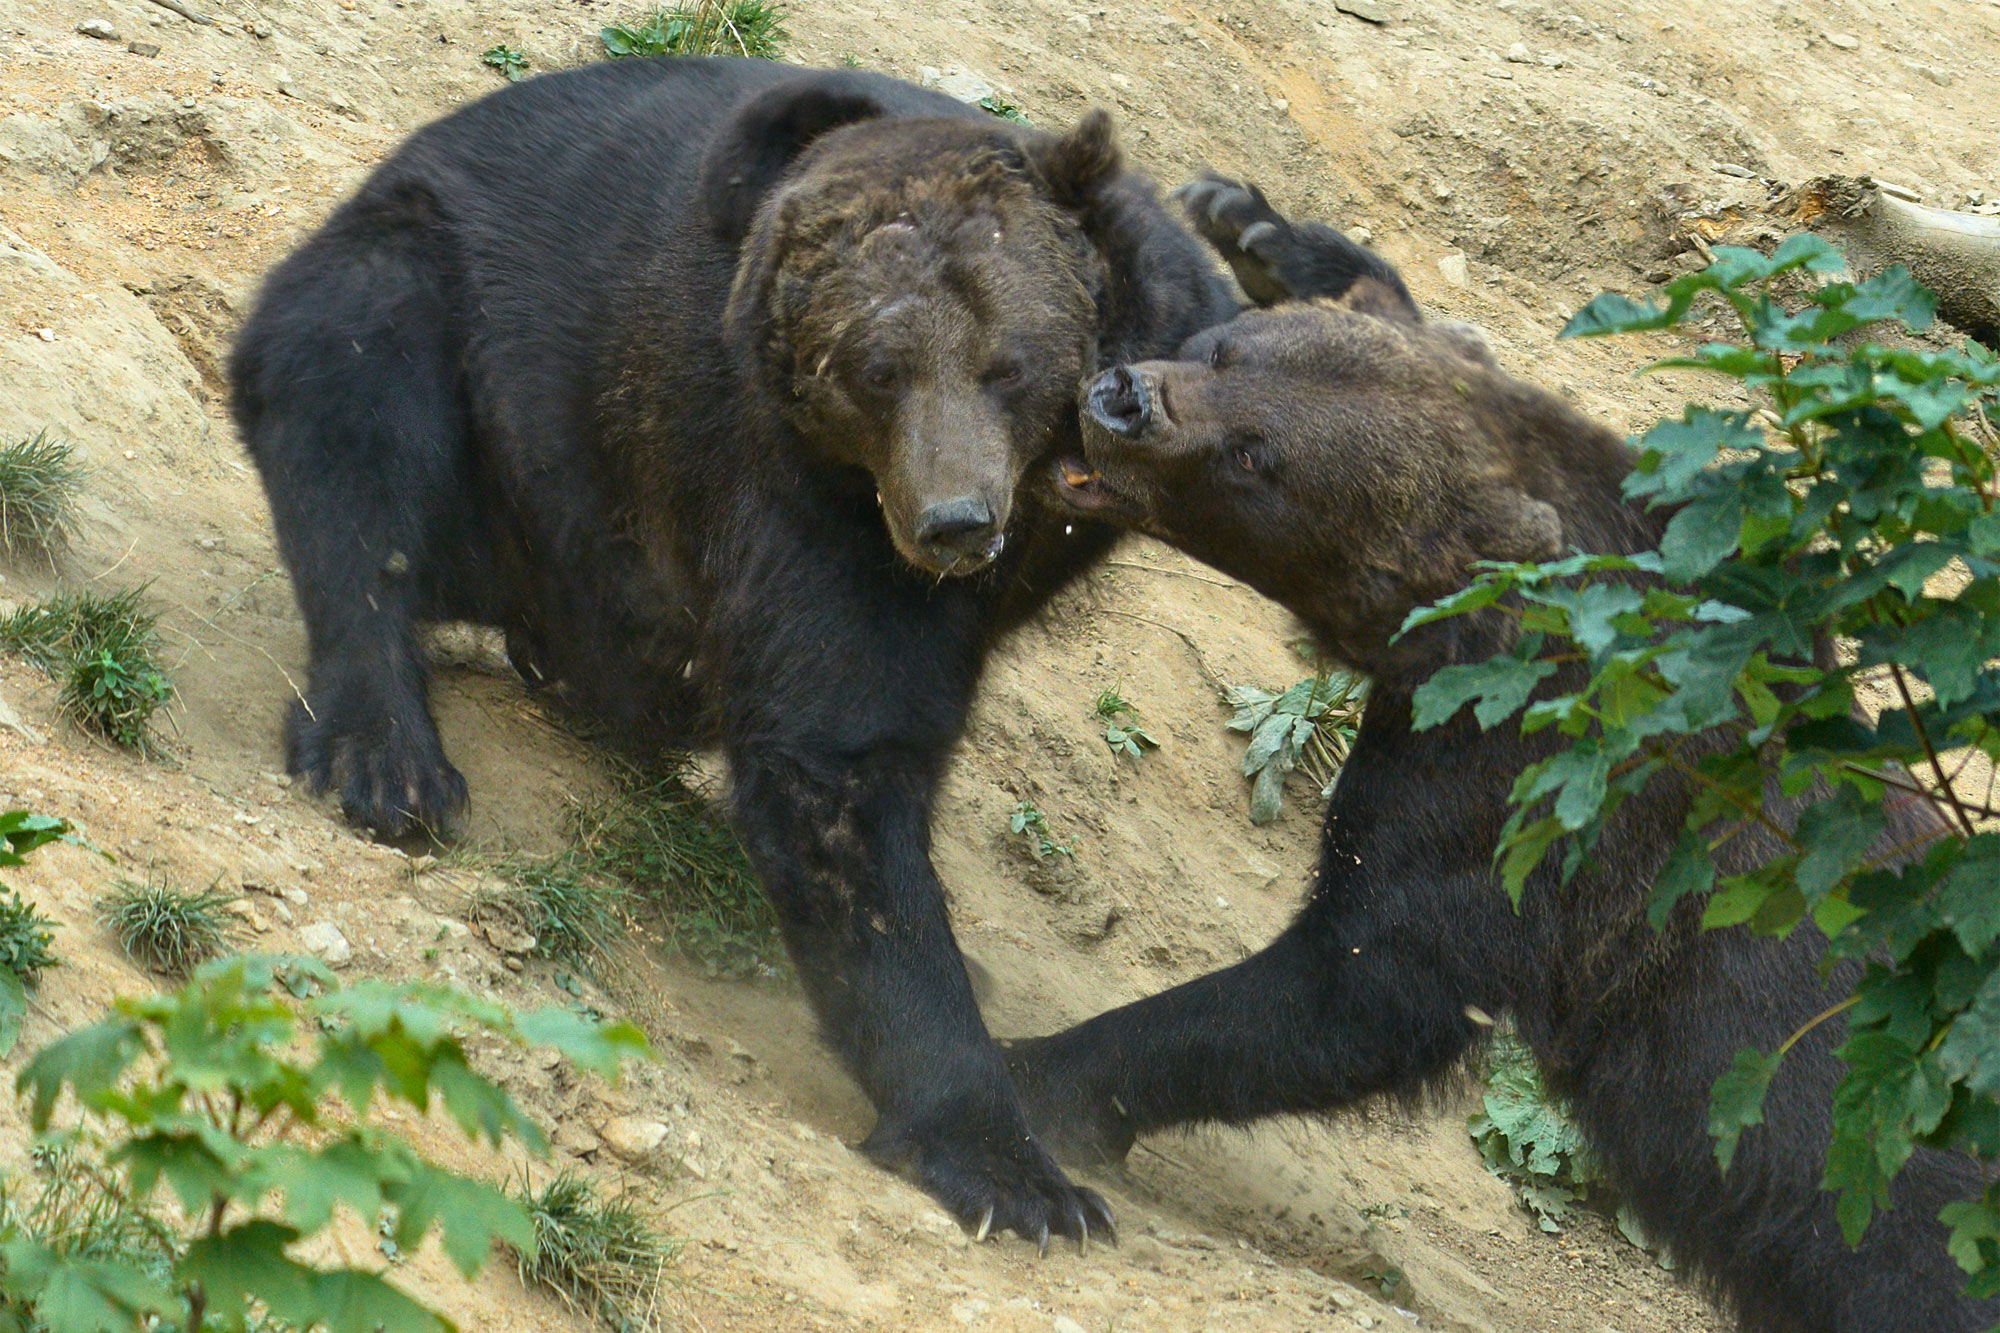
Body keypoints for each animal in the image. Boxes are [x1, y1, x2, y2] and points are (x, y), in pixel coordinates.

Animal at [230, 59, 1232, 1248]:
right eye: (875, 371)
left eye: (1006, 363)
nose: (951, 520)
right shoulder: (786, 492)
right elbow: (840, 766)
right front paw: (1012, 1169)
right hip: (459, 344)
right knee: (353, 407)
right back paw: (386, 757)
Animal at [1016, 179, 2000, 1328]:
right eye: (1226, 348)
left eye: (1258, 455)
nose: (1120, 397)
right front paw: (1257, 225)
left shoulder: (1522, 814)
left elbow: (1354, 991)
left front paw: (1035, 1069)